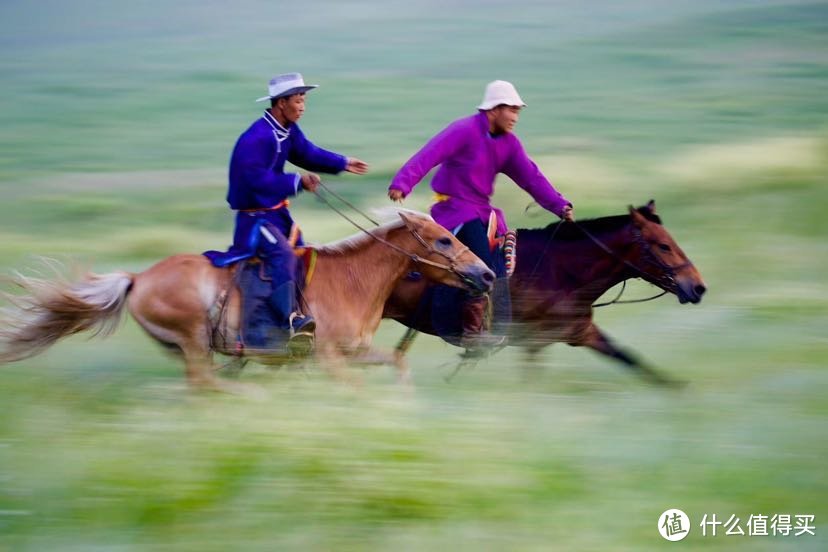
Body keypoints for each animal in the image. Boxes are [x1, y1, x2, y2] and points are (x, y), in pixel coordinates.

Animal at [0, 209, 492, 390]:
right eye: (444, 240)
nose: (485, 275)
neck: (353, 280)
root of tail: (138, 278)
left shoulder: (353, 353)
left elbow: (399, 365)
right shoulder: (329, 356)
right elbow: (353, 389)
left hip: (190, 349)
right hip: (195, 340)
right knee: (207, 385)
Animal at [384, 201, 708, 386]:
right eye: (663, 245)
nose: (698, 287)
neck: (560, 271)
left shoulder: (580, 332)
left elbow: (630, 359)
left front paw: (679, 390)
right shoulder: (532, 341)